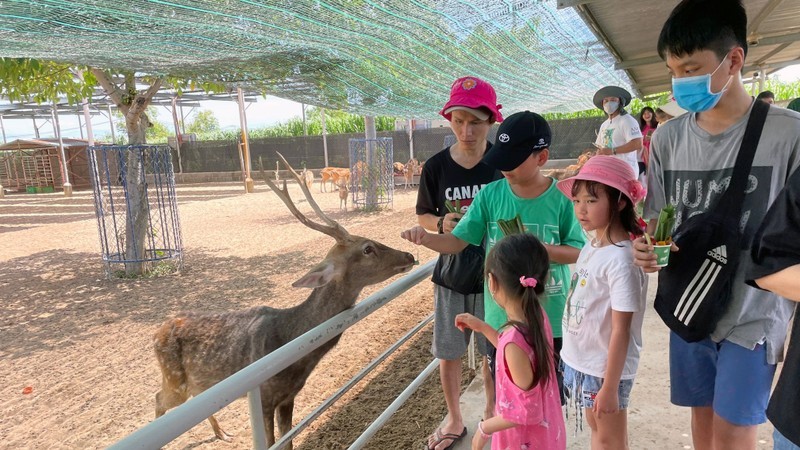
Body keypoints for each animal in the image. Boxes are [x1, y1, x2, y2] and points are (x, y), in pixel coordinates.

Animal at [152, 153, 412, 448]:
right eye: (367, 249)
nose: (409, 255)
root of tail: (156, 334)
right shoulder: (264, 397)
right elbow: (269, 442)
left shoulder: (289, 396)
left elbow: (287, 442)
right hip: (174, 378)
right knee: (158, 399)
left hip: (199, 381)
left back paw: (222, 433)